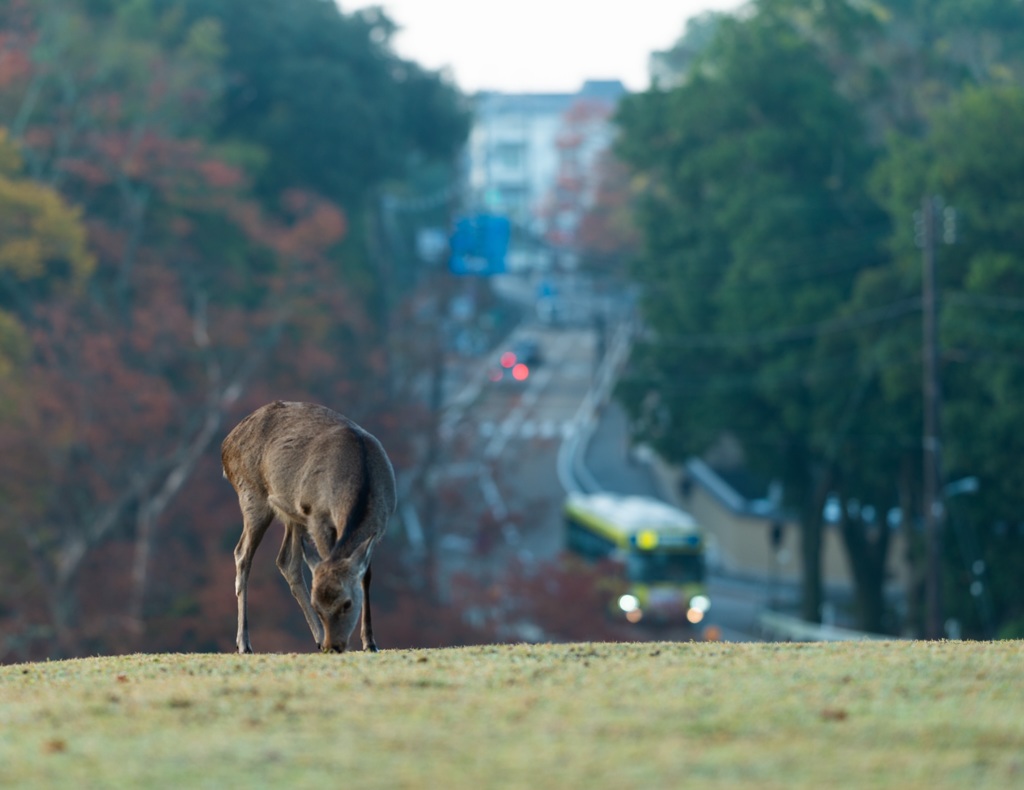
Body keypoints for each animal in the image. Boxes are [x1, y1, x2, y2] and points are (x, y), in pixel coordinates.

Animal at [220, 401, 395, 655]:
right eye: (318, 606)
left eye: (348, 604)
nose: (335, 646)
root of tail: (226, 444)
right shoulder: (318, 516)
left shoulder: (377, 528)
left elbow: (366, 576)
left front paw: (370, 642)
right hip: (251, 495)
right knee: (242, 553)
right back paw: (244, 643)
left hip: (293, 514)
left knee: (286, 561)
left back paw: (317, 638)